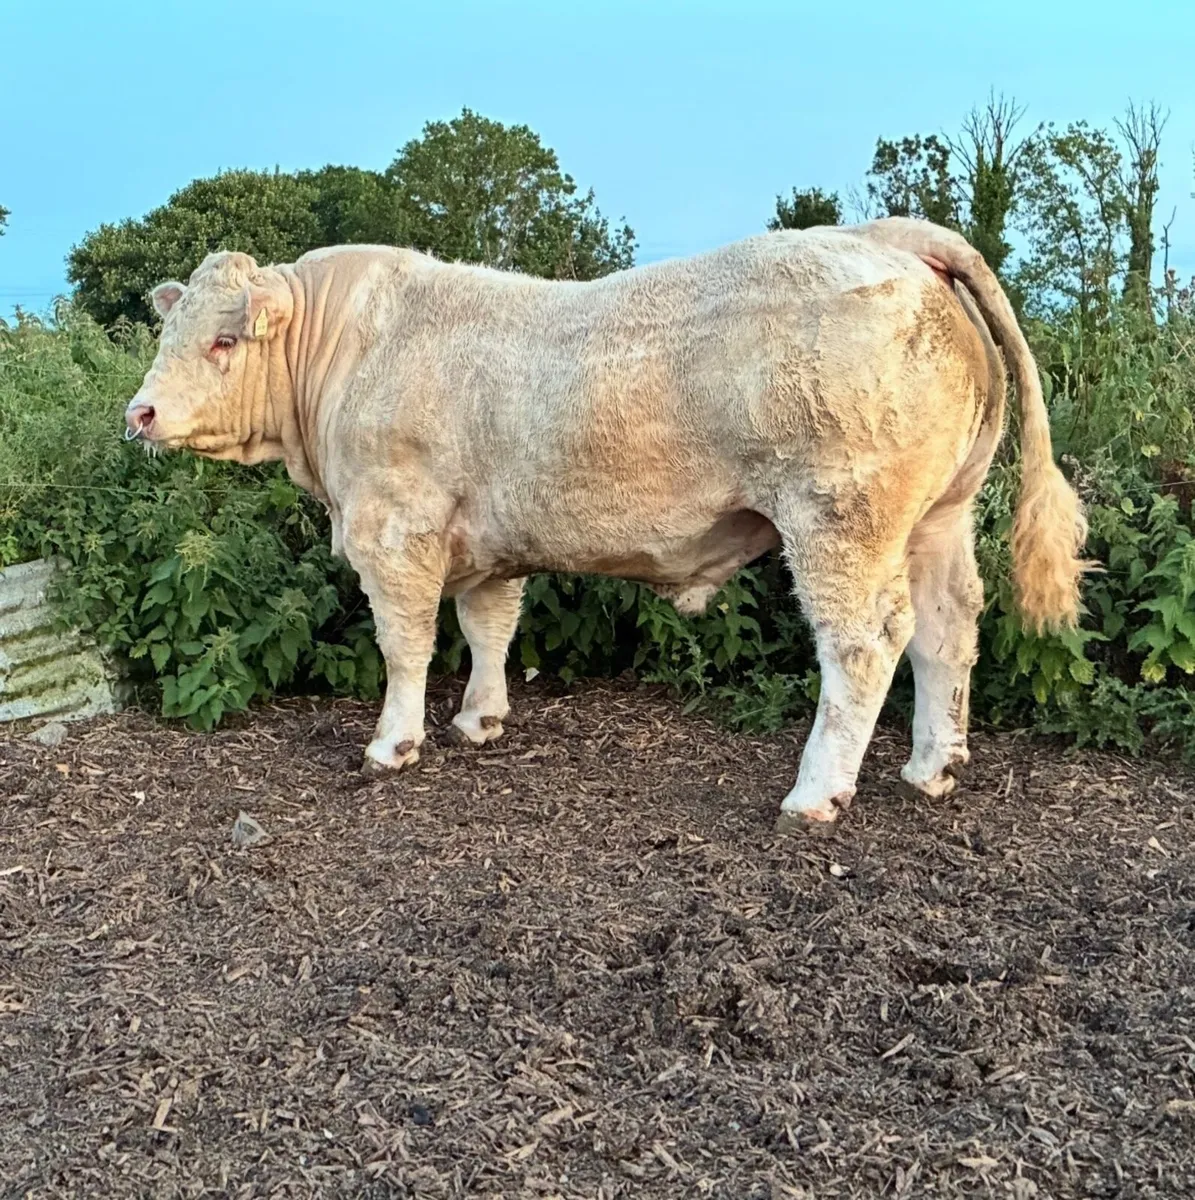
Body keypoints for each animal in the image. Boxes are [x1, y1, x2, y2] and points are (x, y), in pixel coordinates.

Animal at [124, 217, 1088, 831]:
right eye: (168, 331)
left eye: (221, 341)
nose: (140, 413)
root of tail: (894, 237)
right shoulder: (486, 542)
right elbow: (488, 627)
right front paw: (480, 720)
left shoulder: (395, 528)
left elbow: (404, 645)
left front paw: (394, 743)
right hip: (937, 515)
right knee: (945, 628)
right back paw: (933, 766)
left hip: (840, 516)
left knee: (865, 639)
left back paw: (815, 794)